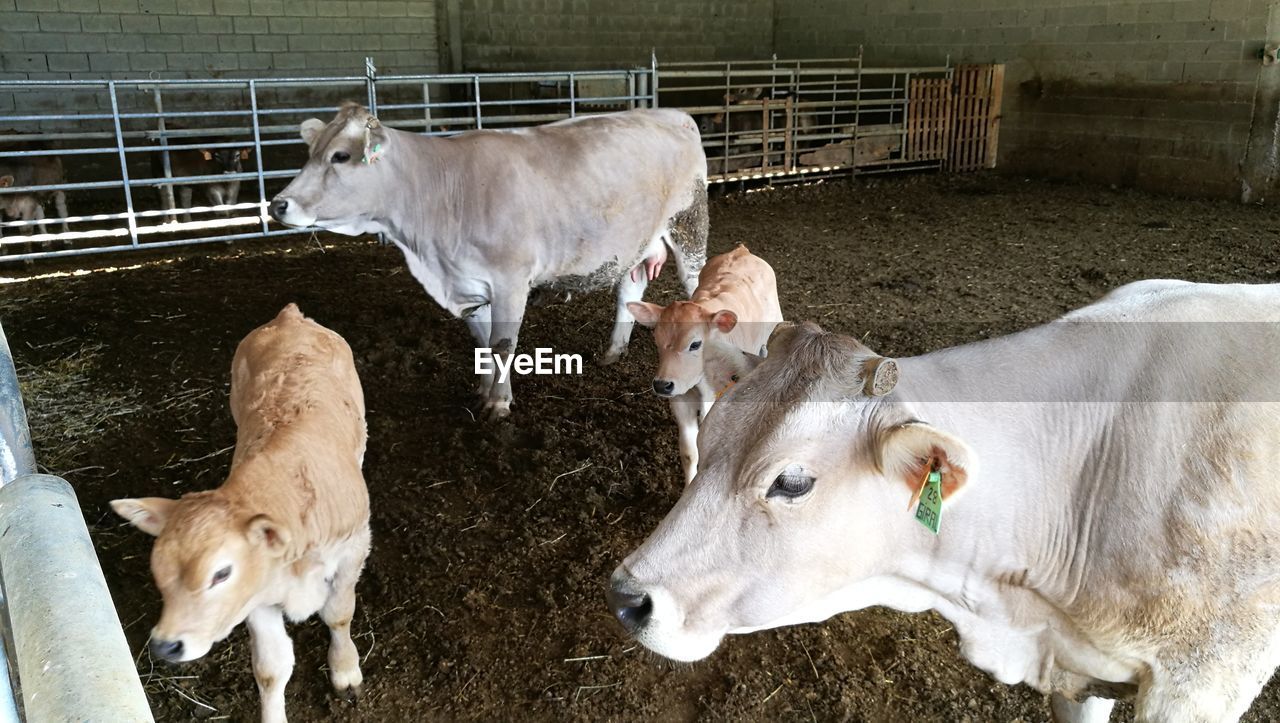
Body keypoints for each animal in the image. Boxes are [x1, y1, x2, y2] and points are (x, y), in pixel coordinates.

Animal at [110, 303, 373, 721]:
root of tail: (289, 316)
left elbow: (338, 613)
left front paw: (345, 670)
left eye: (221, 573)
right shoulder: (257, 597)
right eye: (157, 570)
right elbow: (271, 668)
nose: (165, 646)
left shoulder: (354, 549)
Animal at [270, 101, 711, 417]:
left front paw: (499, 404)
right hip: (638, 241)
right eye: (311, 152)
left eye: (341, 156)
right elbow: (482, 344)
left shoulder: (510, 281)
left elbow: (501, 345)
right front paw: (482, 392)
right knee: (629, 289)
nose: (277, 205)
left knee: (697, 284)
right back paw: (613, 352)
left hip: (689, 224)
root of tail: (671, 113)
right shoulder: (467, 287)